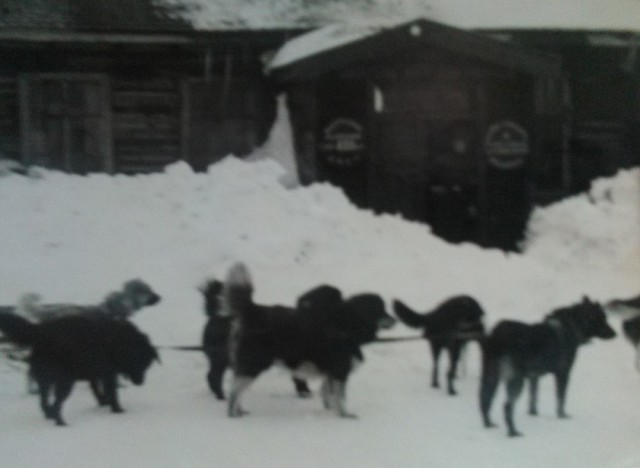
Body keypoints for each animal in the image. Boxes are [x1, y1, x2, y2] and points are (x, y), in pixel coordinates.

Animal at [0, 312, 159, 426]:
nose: (140, 383)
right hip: (65, 381)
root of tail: (39, 331)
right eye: (141, 364)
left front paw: (103, 402)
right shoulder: (108, 374)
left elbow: (99, 391)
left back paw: (50, 415)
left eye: (147, 365)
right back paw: (61, 423)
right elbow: (112, 393)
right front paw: (118, 410)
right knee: (56, 404)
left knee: (44, 402)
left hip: (46, 380)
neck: (122, 342)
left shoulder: (96, 374)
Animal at [225, 262, 396, 418]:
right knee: (235, 390)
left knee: (239, 388)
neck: (346, 325)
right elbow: (340, 397)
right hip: (254, 364)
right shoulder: (340, 371)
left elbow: (329, 395)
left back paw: (240, 410)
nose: (395, 320)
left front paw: (331, 411)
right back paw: (233, 413)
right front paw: (344, 415)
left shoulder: (331, 372)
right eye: (381, 309)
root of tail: (252, 310)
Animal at [480, 298, 616, 436]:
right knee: (507, 406)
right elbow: (561, 398)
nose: (614, 333)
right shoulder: (563, 373)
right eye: (602, 318)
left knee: (484, 399)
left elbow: (533, 397)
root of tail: (498, 336)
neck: (571, 327)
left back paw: (488, 424)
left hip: (491, 376)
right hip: (515, 379)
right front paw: (562, 416)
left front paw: (533, 413)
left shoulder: (534, 377)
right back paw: (513, 432)